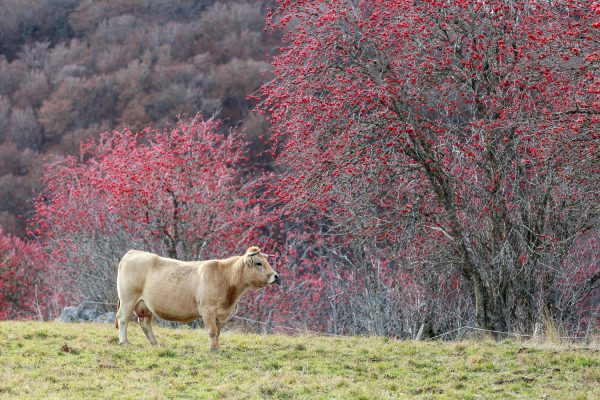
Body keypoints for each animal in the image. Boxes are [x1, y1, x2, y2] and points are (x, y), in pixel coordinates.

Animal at [116, 245, 280, 348]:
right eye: (259, 263)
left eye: (267, 261)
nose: (276, 276)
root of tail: (133, 252)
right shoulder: (207, 310)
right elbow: (212, 331)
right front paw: (214, 349)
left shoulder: (218, 314)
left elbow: (217, 333)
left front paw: (217, 347)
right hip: (128, 299)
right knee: (123, 319)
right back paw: (124, 342)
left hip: (145, 305)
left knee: (145, 323)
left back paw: (155, 344)